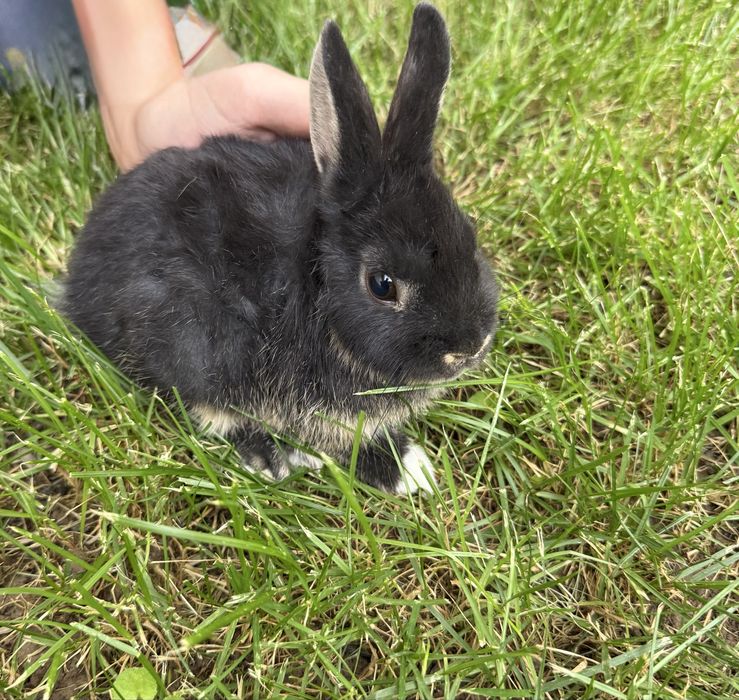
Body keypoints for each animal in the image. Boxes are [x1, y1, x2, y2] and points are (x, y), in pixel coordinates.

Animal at [62, 3, 499, 495]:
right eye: (382, 285)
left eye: (470, 238)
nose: (470, 347)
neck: (315, 283)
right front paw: (405, 469)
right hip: (189, 345)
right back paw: (267, 455)